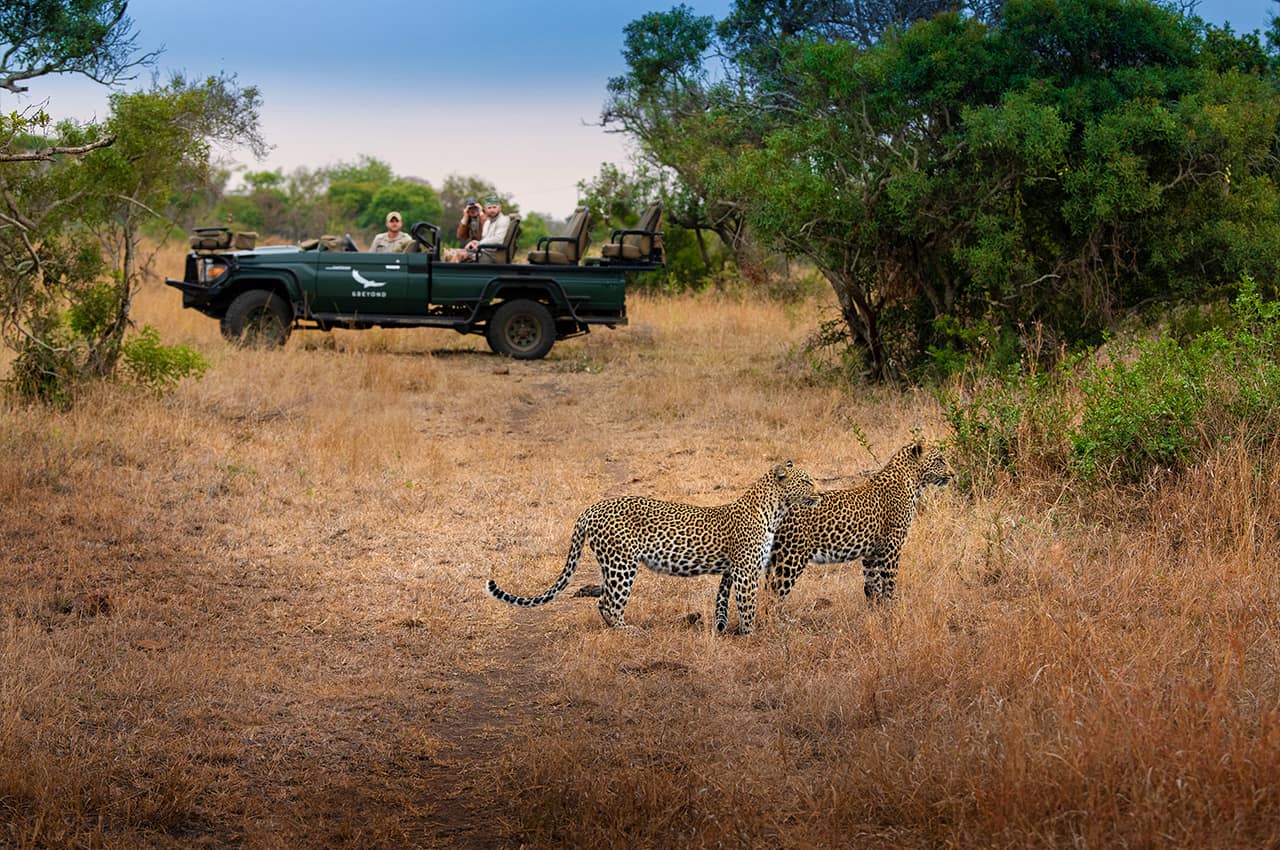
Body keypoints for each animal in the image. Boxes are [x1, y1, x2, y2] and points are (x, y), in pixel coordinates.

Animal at [483, 460, 814, 634]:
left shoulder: (735, 570)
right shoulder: (746, 571)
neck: (776, 509)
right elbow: (748, 604)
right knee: (610, 602)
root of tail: (591, 509)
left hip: (610, 564)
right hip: (622, 564)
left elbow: (730, 600)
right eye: (808, 482)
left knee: (602, 599)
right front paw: (751, 634)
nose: (820, 492)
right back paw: (627, 630)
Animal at [757, 440, 952, 601]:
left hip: (775, 559)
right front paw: (892, 611)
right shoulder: (892, 546)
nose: (953, 474)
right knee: (774, 595)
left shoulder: (871, 553)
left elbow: (873, 586)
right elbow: (889, 584)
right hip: (790, 558)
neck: (913, 483)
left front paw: (877, 614)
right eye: (940, 460)